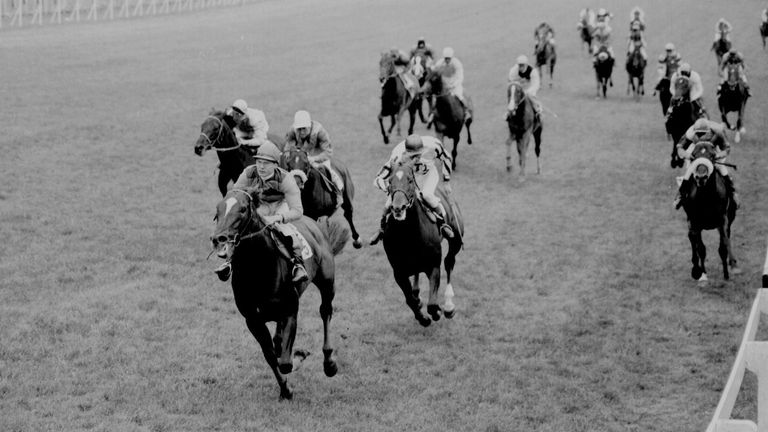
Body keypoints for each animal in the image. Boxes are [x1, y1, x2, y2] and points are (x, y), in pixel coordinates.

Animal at [213, 191, 352, 400]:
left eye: (243, 209)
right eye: (218, 210)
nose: (219, 238)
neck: (256, 269)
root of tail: (314, 223)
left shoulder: (290, 311)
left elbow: (285, 363)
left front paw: (300, 355)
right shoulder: (253, 319)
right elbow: (272, 357)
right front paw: (286, 389)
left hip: (327, 281)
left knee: (325, 311)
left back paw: (329, 364)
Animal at [382, 162, 464, 328]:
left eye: (410, 180)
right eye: (390, 181)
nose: (398, 207)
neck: (408, 235)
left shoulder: (433, 265)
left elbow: (432, 304)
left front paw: (436, 312)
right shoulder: (399, 272)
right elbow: (410, 300)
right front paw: (423, 318)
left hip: (456, 239)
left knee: (449, 262)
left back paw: (448, 306)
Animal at [680, 141, 740, 284]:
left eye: (712, 156)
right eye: (693, 156)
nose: (701, 177)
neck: (706, 198)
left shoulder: (723, 221)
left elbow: (723, 247)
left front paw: (726, 274)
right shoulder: (695, 222)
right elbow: (701, 249)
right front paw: (701, 274)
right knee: (692, 239)